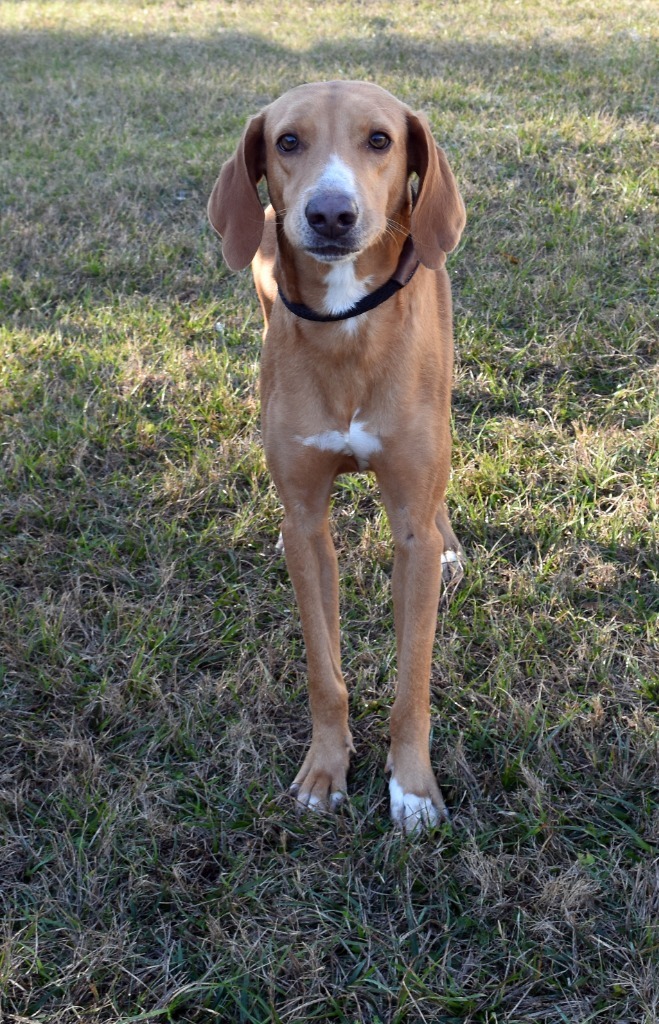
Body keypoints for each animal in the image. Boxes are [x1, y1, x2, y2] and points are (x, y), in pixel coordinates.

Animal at [208, 79, 466, 831]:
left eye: (379, 139)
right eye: (287, 141)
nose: (329, 214)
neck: (345, 322)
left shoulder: (409, 523)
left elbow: (413, 679)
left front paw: (413, 788)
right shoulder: (306, 519)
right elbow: (324, 670)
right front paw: (325, 770)